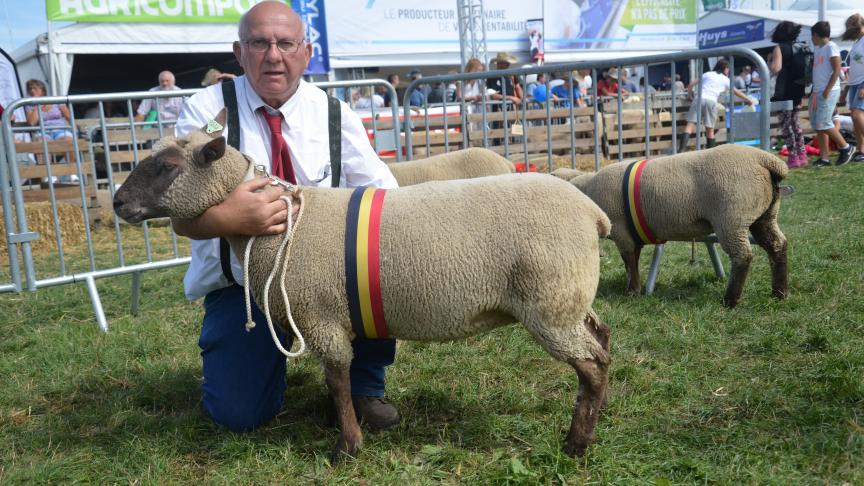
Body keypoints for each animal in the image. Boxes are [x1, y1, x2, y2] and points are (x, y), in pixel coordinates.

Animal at [552, 142, 788, 308]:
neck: (588, 191)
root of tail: (766, 160)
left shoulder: (621, 231)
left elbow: (629, 261)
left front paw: (632, 291)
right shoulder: (631, 233)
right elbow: (634, 260)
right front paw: (636, 287)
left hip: (732, 218)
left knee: (742, 256)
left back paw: (730, 300)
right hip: (764, 215)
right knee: (778, 245)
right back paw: (779, 293)